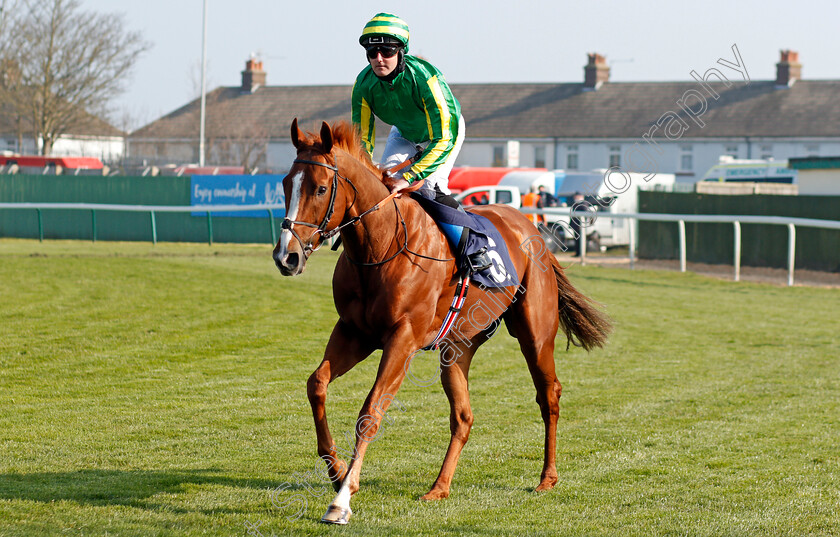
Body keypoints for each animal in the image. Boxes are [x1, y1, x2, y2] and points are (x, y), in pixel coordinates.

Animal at [276, 118, 612, 524]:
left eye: (321, 188)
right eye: (285, 184)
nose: (286, 256)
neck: (383, 244)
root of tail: (534, 231)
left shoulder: (403, 337)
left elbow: (371, 411)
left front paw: (341, 499)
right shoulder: (355, 332)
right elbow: (317, 384)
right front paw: (337, 471)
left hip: (535, 334)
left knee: (549, 394)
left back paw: (547, 478)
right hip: (457, 347)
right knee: (463, 416)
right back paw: (439, 487)